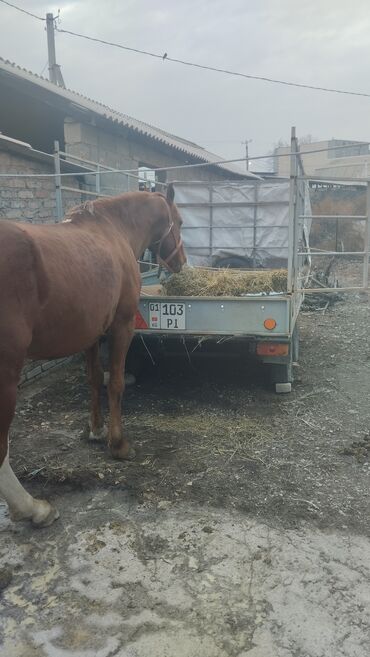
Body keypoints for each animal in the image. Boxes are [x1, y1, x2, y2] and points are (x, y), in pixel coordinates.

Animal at [0, 184, 185, 528]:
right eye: (178, 221)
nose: (181, 261)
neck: (114, 230)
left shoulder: (91, 333)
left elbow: (94, 379)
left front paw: (96, 430)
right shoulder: (121, 326)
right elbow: (115, 383)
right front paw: (118, 444)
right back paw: (32, 508)